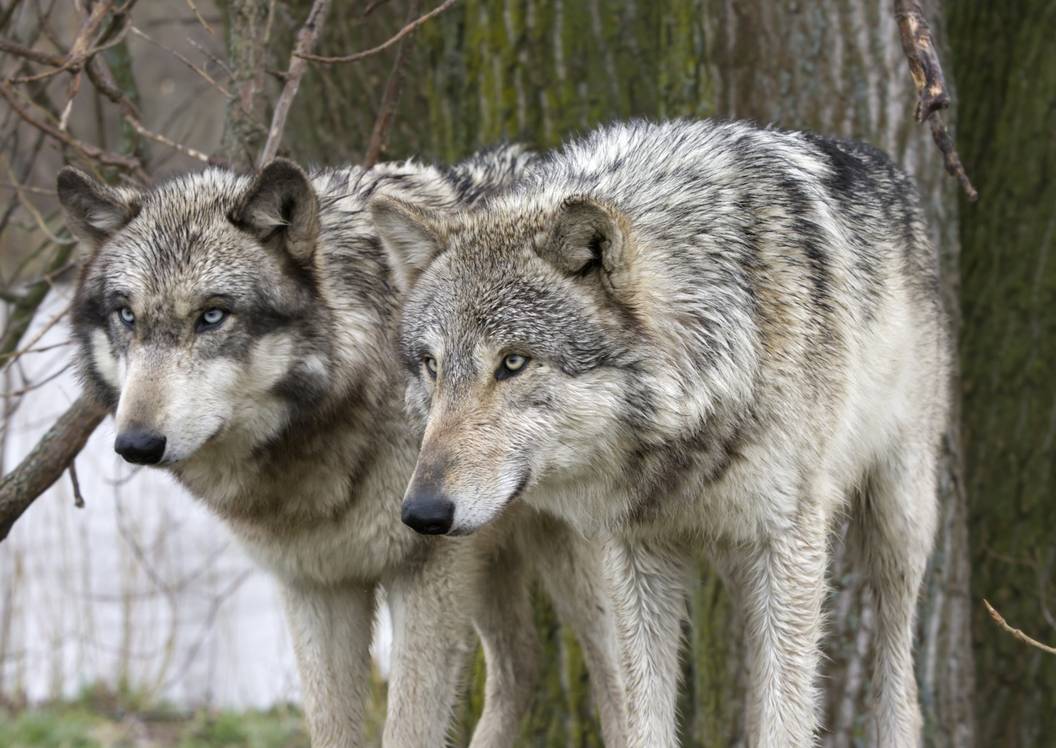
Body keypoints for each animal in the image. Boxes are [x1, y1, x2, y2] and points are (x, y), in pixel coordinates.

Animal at [58, 148, 625, 747]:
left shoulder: (427, 573)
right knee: (522, 665)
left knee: (614, 679)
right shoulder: (316, 586)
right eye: (126, 315)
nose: (136, 443)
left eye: (212, 315)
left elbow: (407, 729)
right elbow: (330, 727)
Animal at [372, 119, 950, 747]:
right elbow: (646, 716)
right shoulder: (636, 556)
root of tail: (890, 170)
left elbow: (788, 718)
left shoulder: (787, 542)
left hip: (893, 527)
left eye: (513, 363)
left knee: (899, 680)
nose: (422, 512)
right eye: (432, 365)